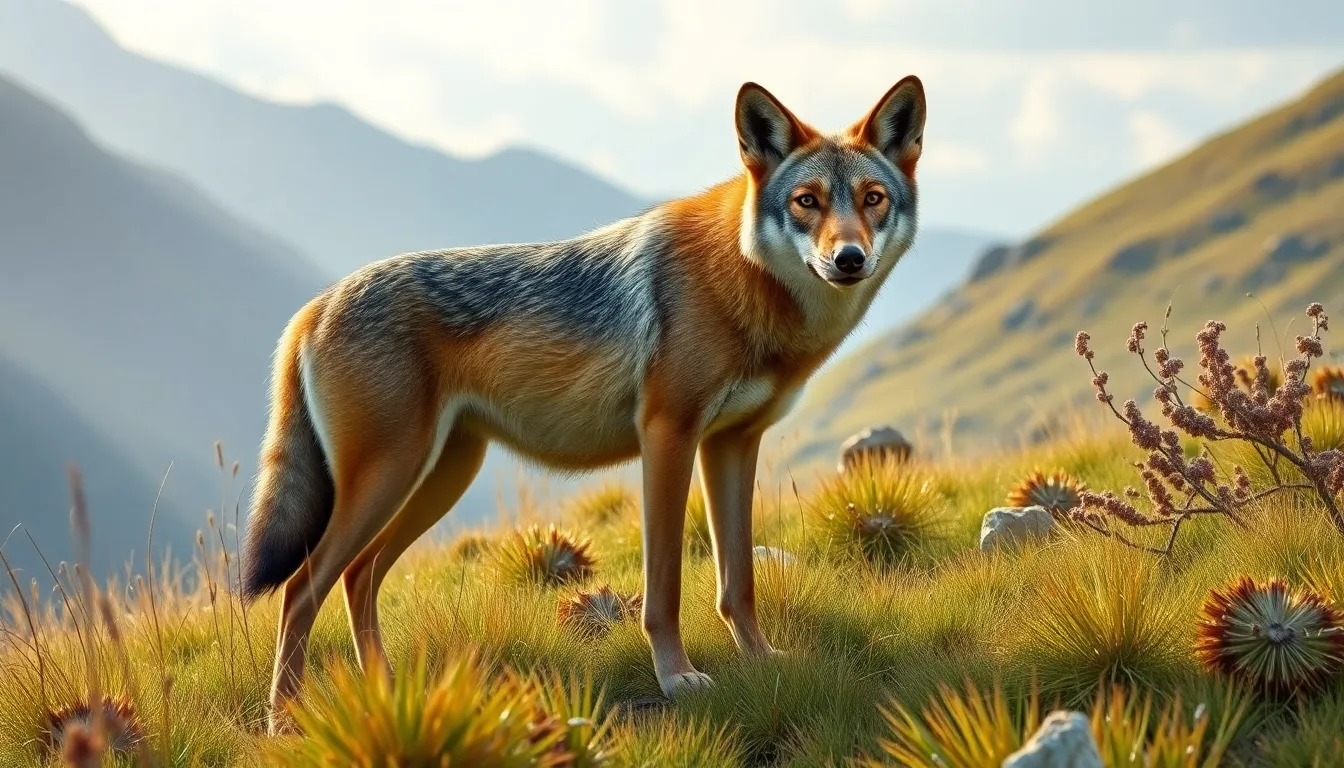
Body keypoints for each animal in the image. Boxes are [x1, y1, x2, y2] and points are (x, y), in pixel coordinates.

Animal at [241, 76, 927, 732]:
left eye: (872, 198)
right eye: (807, 201)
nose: (848, 258)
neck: (741, 274)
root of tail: (316, 304)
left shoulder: (732, 444)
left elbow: (738, 584)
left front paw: (758, 661)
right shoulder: (668, 437)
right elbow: (665, 591)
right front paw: (676, 678)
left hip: (436, 479)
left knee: (358, 576)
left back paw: (385, 697)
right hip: (390, 479)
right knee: (302, 588)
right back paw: (286, 721)